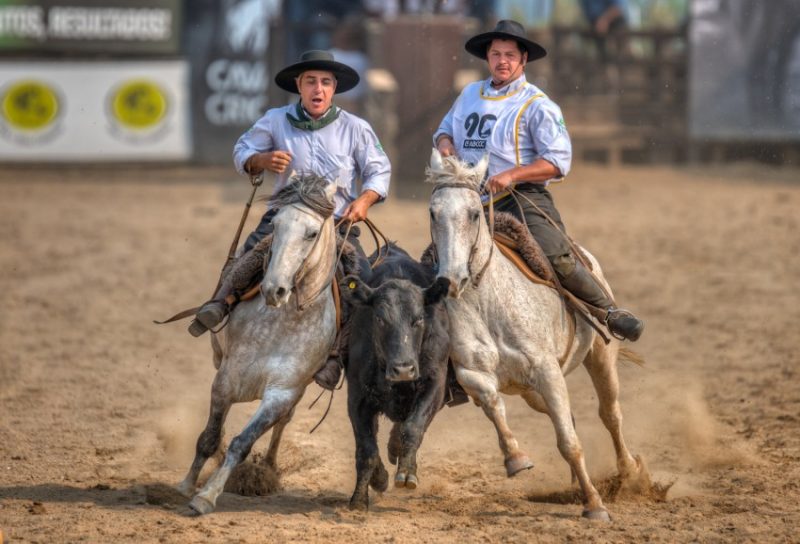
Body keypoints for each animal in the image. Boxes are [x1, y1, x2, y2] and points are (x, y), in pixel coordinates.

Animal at [177, 176, 340, 516]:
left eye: (312, 233)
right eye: (275, 225)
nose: (274, 289)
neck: (283, 321)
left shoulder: (283, 392)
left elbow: (242, 442)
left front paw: (207, 496)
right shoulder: (226, 379)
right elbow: (210, 437)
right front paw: (187, 485)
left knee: (282, 425)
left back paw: (268, 467)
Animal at [424, 148, 644, 520]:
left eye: (473, 214)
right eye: (432, 212)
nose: (450, 280)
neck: (486, 302)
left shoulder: (546, 370)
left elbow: (569, 442)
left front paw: (594, 505)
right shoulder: (473, 373)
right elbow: (494, 404)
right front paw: (515, 458)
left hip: (600, 356)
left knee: (610, 414)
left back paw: (629, 472)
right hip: (530, 391)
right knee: (567, 416)